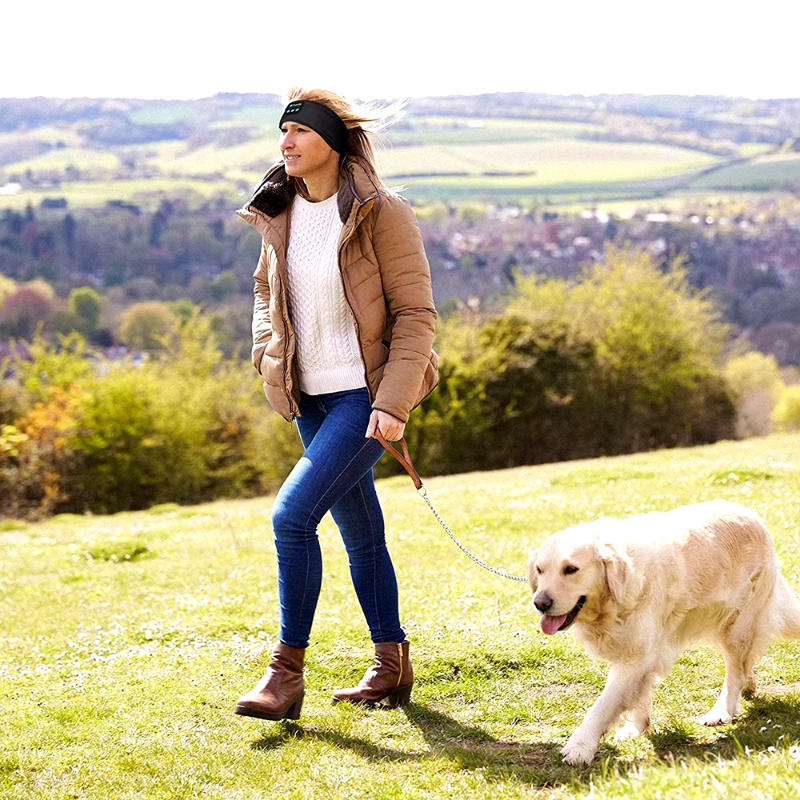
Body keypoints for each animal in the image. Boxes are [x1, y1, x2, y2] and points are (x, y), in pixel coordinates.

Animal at [524, 500, 800, 768]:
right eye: (540, 570)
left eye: (570, 569)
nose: (540, 603)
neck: (615, 598)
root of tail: (751, 515)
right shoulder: (643, 655)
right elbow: (640, 693)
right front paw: (635, 728)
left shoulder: (635, 658)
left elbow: (601, 706)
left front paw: (579, 747)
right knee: (746, 664)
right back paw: (749, 684)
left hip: (736, 626)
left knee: (735, 673)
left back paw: (720, 711)